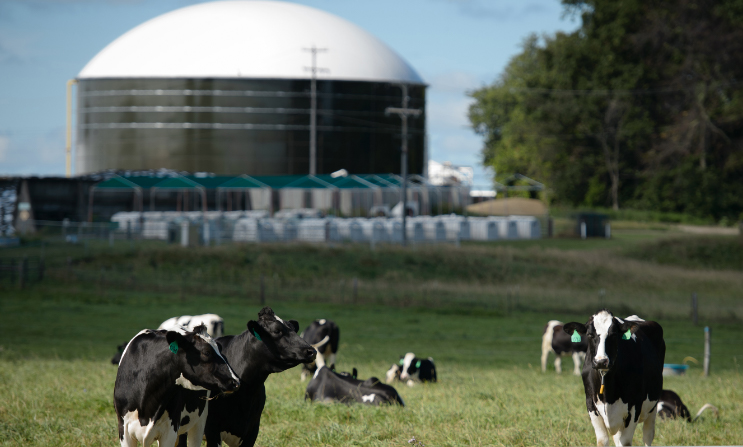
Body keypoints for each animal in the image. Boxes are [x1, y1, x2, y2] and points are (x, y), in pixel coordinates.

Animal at [568, 312, 664, 447]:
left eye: (614, 334)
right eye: (589, 335)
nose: (601, 361)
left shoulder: (635, 405)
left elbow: (625, 442)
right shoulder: (590, 404)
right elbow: (602, 441)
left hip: (652, 407)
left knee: (648, 436)